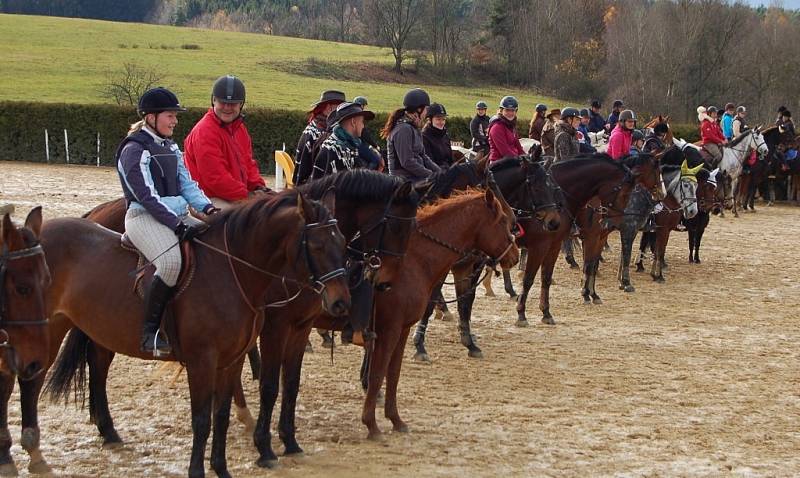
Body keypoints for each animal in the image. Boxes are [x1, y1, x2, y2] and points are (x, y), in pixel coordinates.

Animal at [42, 190, 350, 478]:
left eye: (343, 243)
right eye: (317, 245)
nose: (341, 302)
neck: (231, 270)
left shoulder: (233, 359)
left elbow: (221, 414)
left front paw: (222, 468)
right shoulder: (205, 360)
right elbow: (203, 419)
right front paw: (205, 468)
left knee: (97, 364)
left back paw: (108, 432)